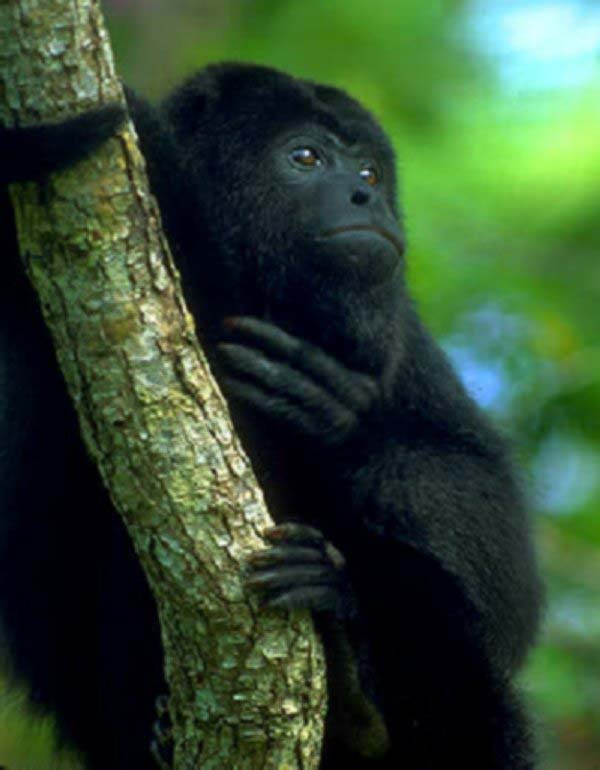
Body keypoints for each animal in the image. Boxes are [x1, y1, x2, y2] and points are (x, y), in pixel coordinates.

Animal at [0, 64, 540, 768]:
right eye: (305, 157)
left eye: (369, 172)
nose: (366, 200)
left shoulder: (406, 342)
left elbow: (499, 561)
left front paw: (336, 420)